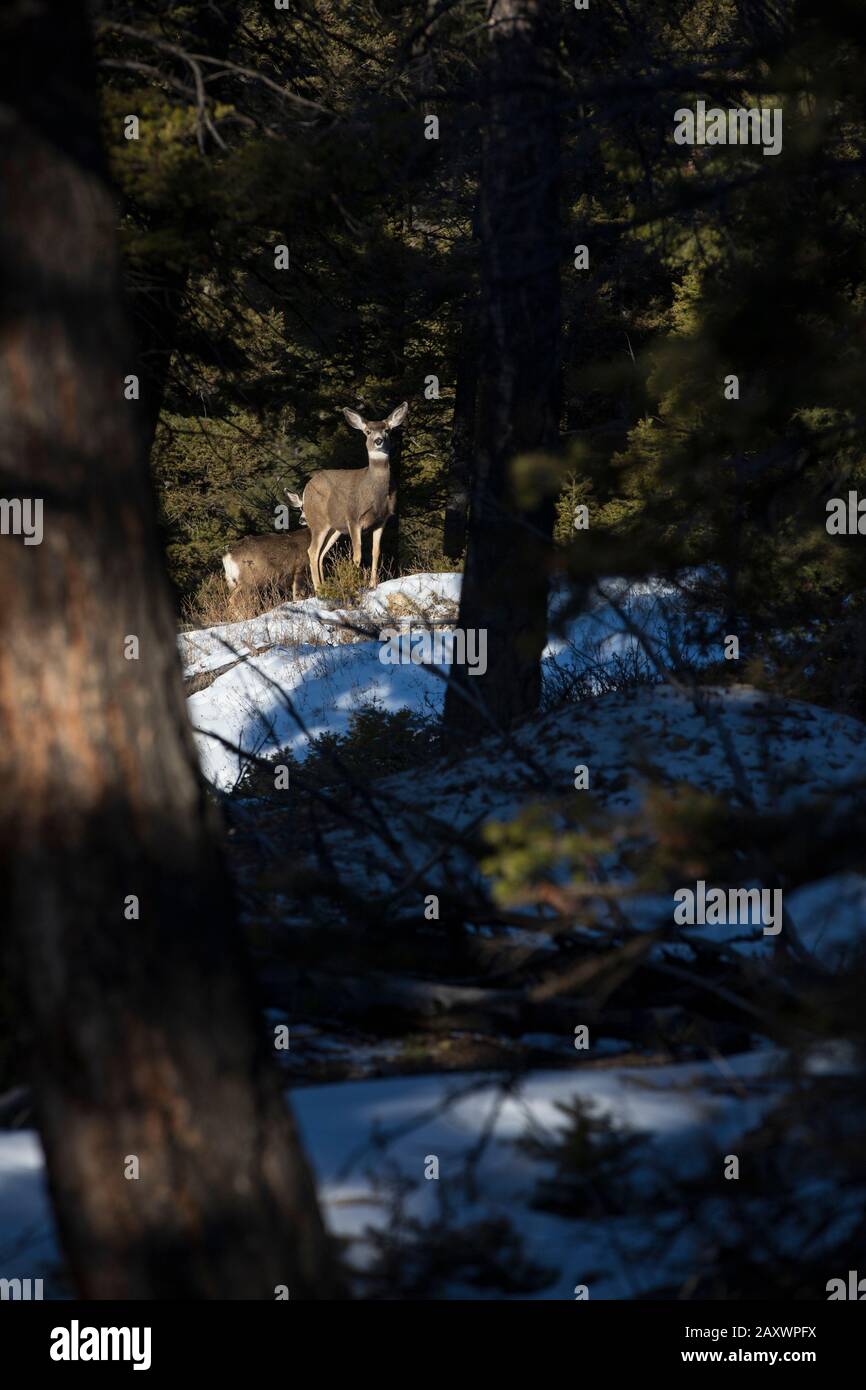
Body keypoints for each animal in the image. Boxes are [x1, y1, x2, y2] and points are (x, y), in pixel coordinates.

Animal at [301, 403, 408, 597]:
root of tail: (306, 489)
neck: (374, 493)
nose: (378, 440)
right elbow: (357, 555)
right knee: (312, 551)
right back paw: (319, 591)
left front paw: (373, 584)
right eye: (367, 431)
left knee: (321, 553)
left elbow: (376, 552)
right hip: (318, 521)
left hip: (334, 528)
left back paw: (325, 587)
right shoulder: (353, 517)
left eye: (387, 430)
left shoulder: (382, 520)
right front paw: (355, 586)